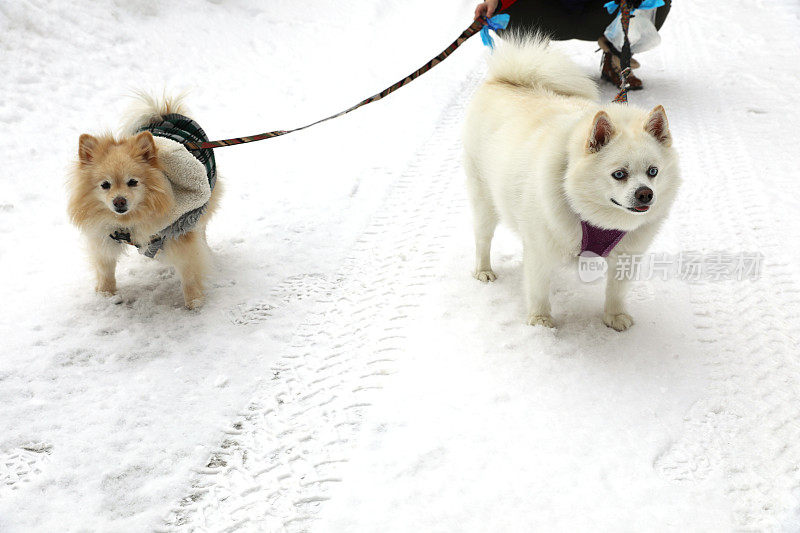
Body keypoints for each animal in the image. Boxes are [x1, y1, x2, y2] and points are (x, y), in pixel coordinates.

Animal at [66, 95, 220, 308]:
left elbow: (189, 270)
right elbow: (105, 267)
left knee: (201, 230)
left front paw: (194, 300)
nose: (119, 201)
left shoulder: (180, 233)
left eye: (133, 182)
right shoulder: (104, 236)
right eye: (105, 185)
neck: (130, 222)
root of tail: (165, 113)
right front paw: (105, 293)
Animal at [462, 36, 680, 328]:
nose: (645, 194)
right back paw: (483, 270)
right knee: (483, 238)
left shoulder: (626, 253)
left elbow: (617, 290)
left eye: (653, 171)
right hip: (484, 199)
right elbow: (538, 289)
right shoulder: (541, 249)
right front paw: (540, 322)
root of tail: (505, 80)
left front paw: (614, 316)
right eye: (619, 174)